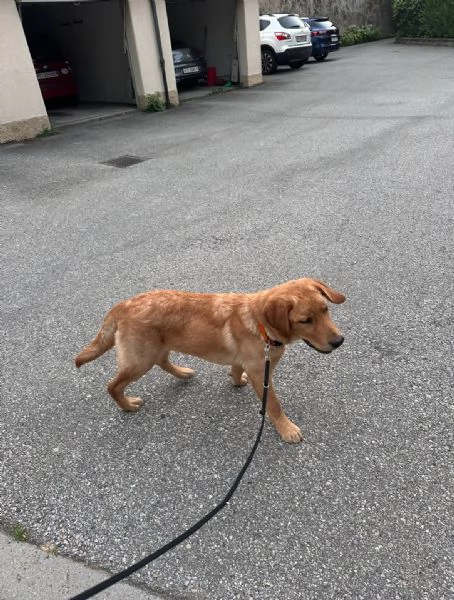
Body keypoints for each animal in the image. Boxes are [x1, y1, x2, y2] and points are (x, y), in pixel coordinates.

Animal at [75, 278, 344, 442]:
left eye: (325, 309)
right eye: (305, 320)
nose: (339, 341)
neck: (260, 324)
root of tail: (122, 305)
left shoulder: (245, 362)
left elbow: (235, 369)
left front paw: (236, 380)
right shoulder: (261, 373)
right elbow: (274, 405)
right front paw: (287, 429)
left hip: (155, 348)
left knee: (163, 361)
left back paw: (183, 373)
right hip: (140, 359)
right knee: (113, 385)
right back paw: (128, 405)